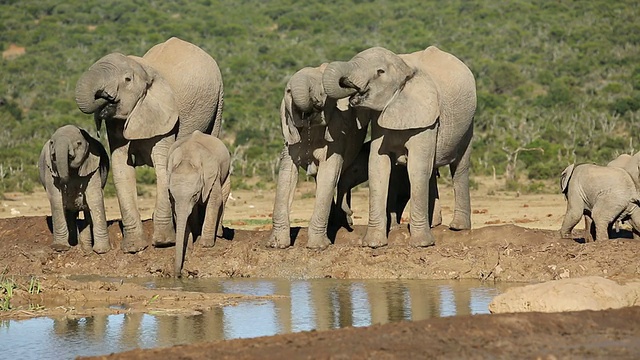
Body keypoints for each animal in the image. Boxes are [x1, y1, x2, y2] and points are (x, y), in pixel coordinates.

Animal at [38, 125, 110, 255]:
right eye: (51, 143)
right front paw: (60, 248)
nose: (64, 183)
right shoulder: (50, 169)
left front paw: (102, 251)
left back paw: (86, 250)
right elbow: (56, 198)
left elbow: (94, 197)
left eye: (79, 143)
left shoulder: (93, 167)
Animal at [74, 36, 225, 253]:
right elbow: (121, 169)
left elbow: (162, 166)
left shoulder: (166, 117)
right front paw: (133, 248)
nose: (104, 96)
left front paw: (164, 242)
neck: (144, 68)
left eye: (127, 80)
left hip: (219, 100)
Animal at [166, 130, 231, 278]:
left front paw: (206, 245)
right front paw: (188, 243)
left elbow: (215, 199)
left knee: (224, 195)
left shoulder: (212, 174)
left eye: (195, 195)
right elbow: (177, 209)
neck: (188, 158)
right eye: (173, 196)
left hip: (226, 172)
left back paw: (219, 234)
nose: (178, 275)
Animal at [270, 64, 370, 250]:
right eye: (288, 91)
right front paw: (276, 245)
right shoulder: (290, 132)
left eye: (323, 92)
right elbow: (287, 173)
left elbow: (329, 170)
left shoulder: (337, 132)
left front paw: (318, 247)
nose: (314, 104)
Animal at [322, 45, 478, 248]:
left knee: (459, 166)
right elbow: (378, 166)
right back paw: (434, 224)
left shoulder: (427, 119)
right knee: (431, 170)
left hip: (468, 123)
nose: (350, 216)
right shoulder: (379, 121)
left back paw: (458, 228)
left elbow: (416, 168)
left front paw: (421, 244)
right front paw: (373, 244)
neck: (405, 67)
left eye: (380, 72)